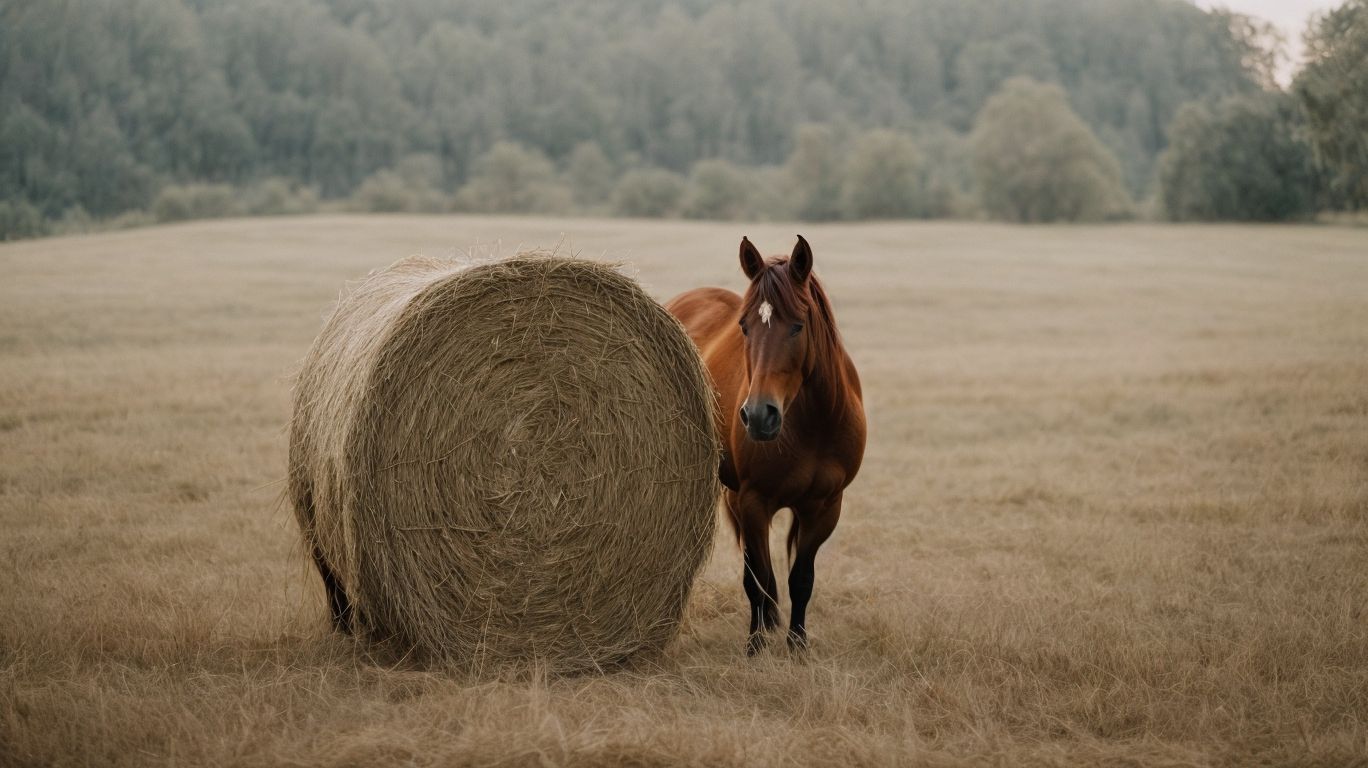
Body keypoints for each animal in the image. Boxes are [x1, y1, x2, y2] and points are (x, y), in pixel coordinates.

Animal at [666, 235, 865, 654]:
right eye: (744, 326)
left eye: (798, 326)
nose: (759, 415)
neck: (813, 424)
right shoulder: (754, 500)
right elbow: (756, 577)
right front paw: (756, 646)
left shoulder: (825, 507)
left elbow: (801, 579)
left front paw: (797, 645)